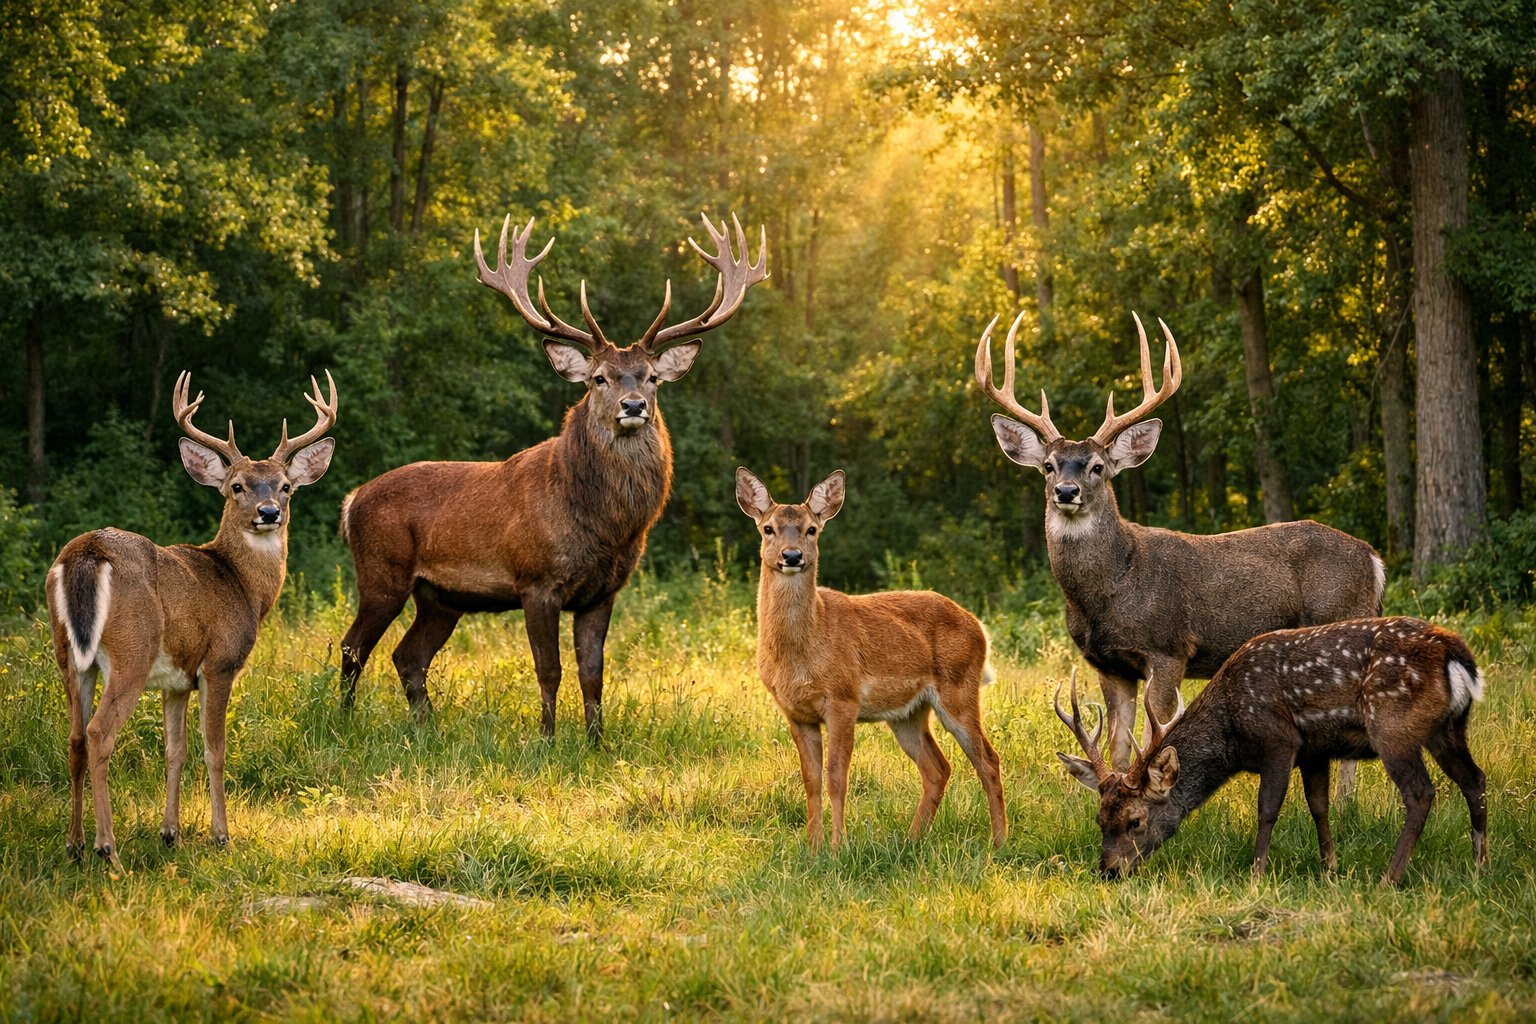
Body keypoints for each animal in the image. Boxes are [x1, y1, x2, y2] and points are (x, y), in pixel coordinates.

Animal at [46, 371, 337, 864]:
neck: (241, 585)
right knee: (99, 733)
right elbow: (214, 750)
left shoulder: (176, 680)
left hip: (69, 655)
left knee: (75, 738)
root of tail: (86, 552)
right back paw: (108, 848)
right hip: (132, 651)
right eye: (237, 486)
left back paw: (74, 842)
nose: (269, 513)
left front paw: (170, 833)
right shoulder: (219, 663)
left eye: (285, 486)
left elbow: (174, 751)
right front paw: (221, 835)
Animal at [339, 212, 767, 737]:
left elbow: (593, 671)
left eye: (651, 377)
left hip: (441, 597)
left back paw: (427, 730)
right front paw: (545, 737)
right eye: (599, 378)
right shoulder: (535, 580)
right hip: (381, 572)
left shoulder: (602, 592)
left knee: (408, 656)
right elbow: (549, 668)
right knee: (353, 646)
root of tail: (352, 502)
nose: (633, 406)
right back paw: (343, 721)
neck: (604, 525)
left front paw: (596, 740)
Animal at [736, 467, 1007, 850]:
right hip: (908, 713)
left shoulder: (843, 699)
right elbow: (811, 780)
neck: (801, 652)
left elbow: (836, 777)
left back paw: (999, 841)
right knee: (938, 768)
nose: (791, 556)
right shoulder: (796, 713)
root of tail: (979, 627)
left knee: (988, 759)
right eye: (768, 528)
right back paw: (912, 839)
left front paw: (838, 846)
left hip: (959, 691)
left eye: (812, 529)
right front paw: (813, 846)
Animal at [975, 310, 1385, 791]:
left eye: (1097, 467)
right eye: (1048, 466)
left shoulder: (1168, 648)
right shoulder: (1109, 665)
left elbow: (1154, 733)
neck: (1112, 587)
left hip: (1340, 622)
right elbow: (1118, 744)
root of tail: (1374, 559)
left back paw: (1346, 803)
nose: (1066, 491)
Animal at [1054, 616, 1488, 884]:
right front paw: (1330, 869)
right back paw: (1480, 865)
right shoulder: (1316, 749)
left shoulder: (1280, 739)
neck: (1231, 732)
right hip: (1448, 729)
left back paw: (1389, 877)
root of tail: (1459, 657)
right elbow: (1318, 806)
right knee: (1475, 780)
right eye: (1099, 819)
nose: (1109, 870)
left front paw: (1256, 873)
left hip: (1392, 724)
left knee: (1421, 793)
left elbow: (1267, 807)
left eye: (1135, 821)